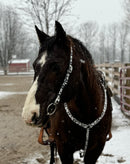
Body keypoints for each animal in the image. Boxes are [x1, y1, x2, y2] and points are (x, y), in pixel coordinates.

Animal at [21, 21, 112, 163]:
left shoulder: (96, 149)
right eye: (34, 65)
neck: (86, 116)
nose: (29, 114)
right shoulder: (64, 149)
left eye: (55, 66)